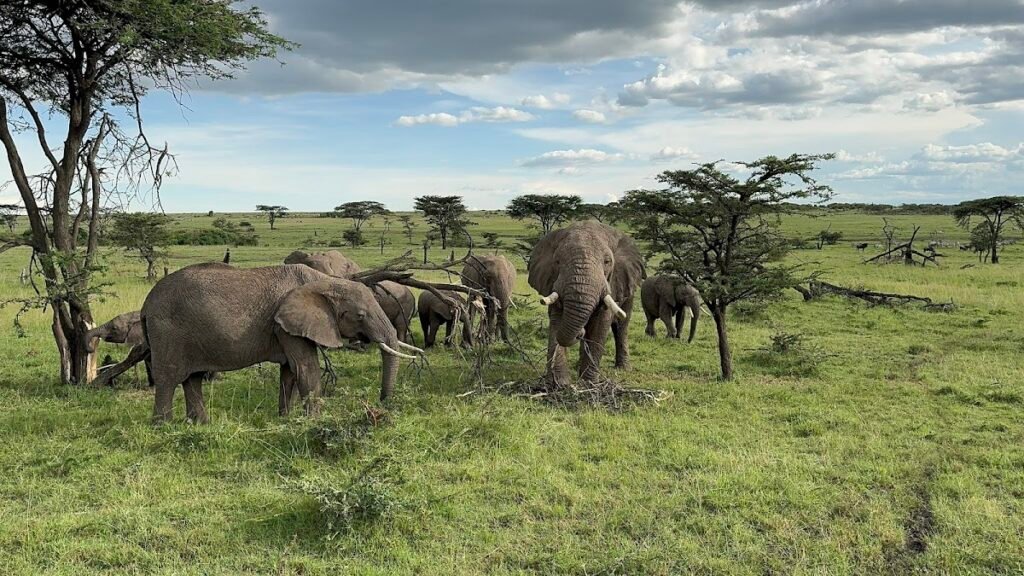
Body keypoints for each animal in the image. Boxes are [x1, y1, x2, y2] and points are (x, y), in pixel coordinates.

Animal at [141, 263, 421, 423]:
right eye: (360, 315)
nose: (382, 405)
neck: (325, 280)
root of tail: (145, 305)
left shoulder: (288, 326)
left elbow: (290, 371)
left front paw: (286, 419)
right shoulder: (285, 323)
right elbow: (306, 367)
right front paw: (315, 422)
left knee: (193, 379)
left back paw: (199, 425)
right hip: (167, 331)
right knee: (169, 379)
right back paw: (163, 427)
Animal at [528, 221, 646, 387]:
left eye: (607, 262)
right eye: (557, 262)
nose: (580, 333)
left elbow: (600, 324)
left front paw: (588, 384)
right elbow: (557, 321)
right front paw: (559, 384)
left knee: (621, 325)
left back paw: (623, 368)